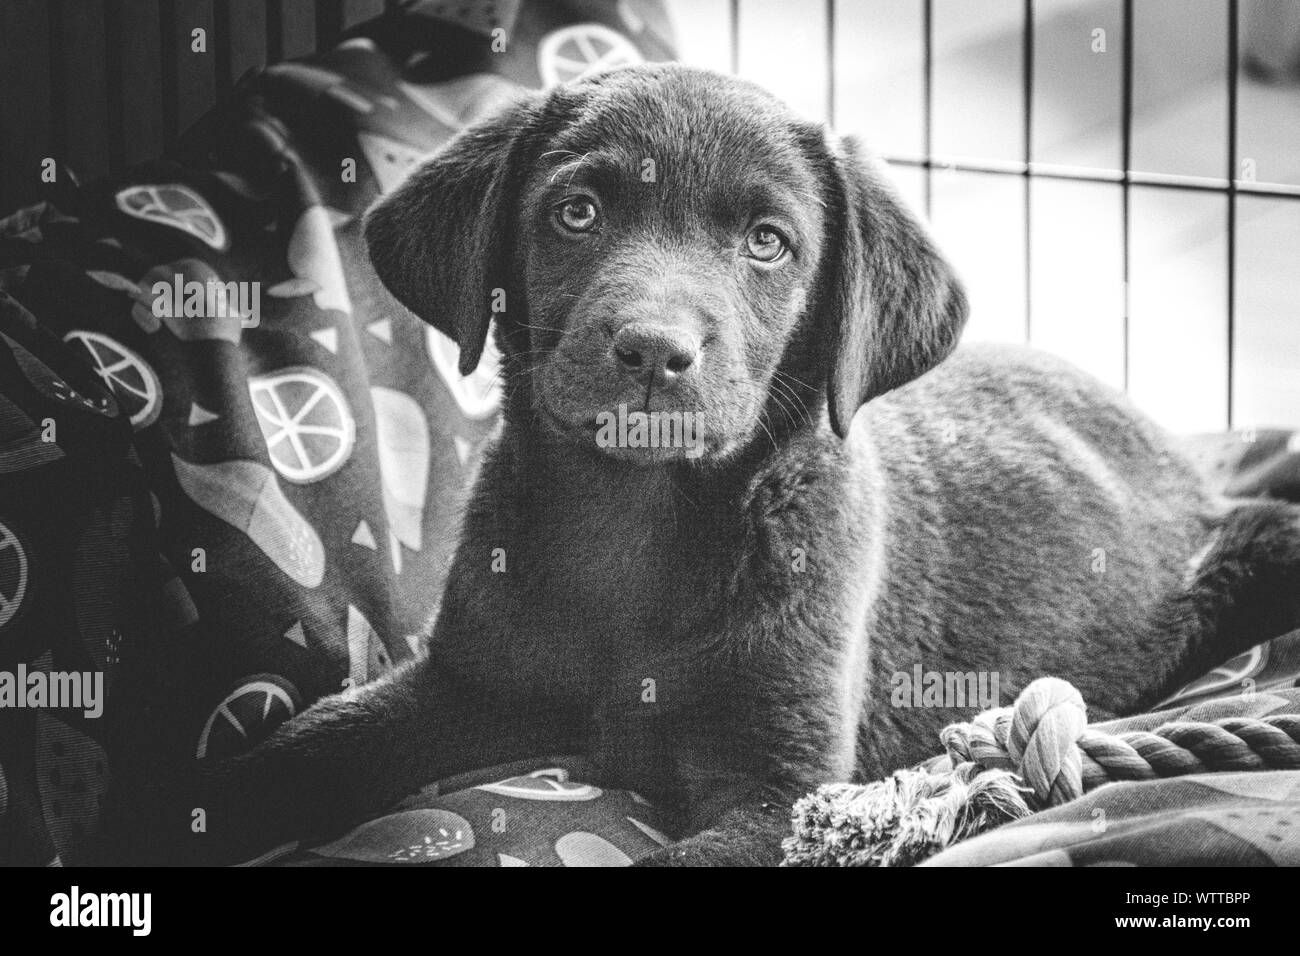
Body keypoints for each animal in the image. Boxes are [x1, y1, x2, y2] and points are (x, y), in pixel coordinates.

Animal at [106, 63, 1300, 863]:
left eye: (768, 243)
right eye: (576, 211)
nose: (652, 349)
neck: (639, 530)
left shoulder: (779, 790)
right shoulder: (466, 680)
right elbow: (308, 745)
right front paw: (174, 814)